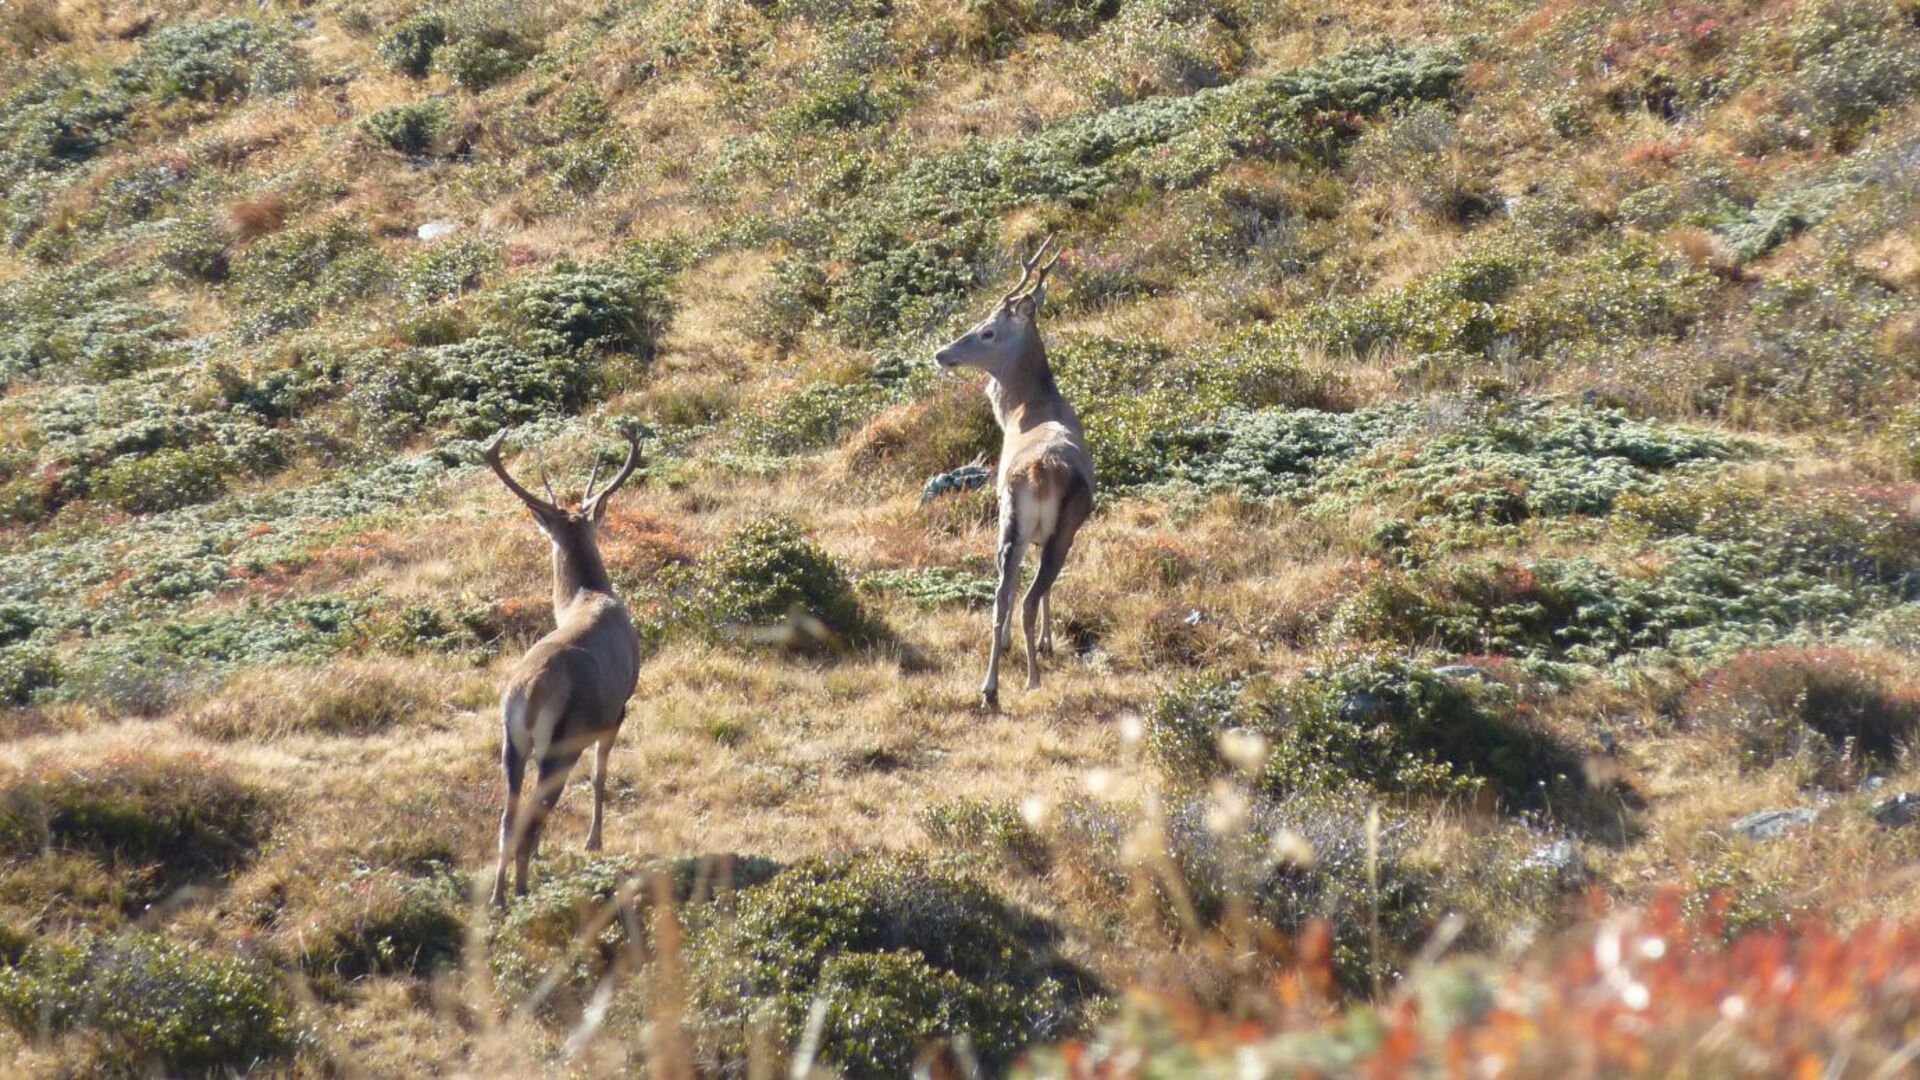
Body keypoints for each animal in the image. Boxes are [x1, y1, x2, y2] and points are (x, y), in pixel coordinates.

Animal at [480, 424, 645, 903]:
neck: (587, 596)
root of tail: (531, 693)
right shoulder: (617, 710)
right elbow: (601, 773)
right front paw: (595, 840)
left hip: (511, 741)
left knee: (508, 816)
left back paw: (499, 894)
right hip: (563, 740)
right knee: (534, 812)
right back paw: (521, 890)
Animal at [933, 234, 1090, 707]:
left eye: (988, 330)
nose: (941, 353)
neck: (1025, 409)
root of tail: (1037, 472)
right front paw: (1045, 643)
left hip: (1011, 521)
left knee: (1003, 596)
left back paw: (991, 687)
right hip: (1058, 527)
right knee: (1027, 595)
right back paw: (1030, 678)